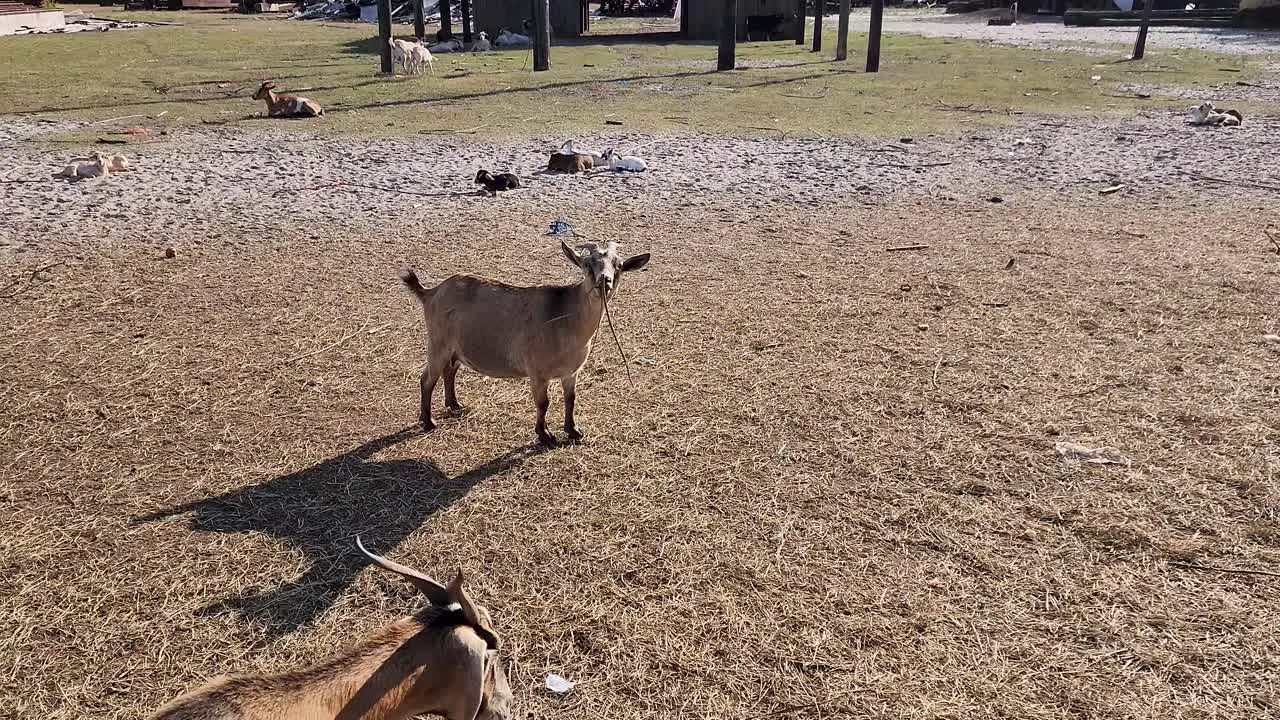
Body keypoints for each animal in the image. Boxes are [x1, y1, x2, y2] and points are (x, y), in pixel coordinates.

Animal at [401, 239, 650, 443]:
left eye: (619, 266)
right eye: (587, 265)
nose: (604, 281)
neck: (565, 315)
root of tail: (431, 292)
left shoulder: (571, 372)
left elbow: (571, 399)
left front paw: (573, 431)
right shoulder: (538, 372)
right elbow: (543, 403)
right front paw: (545, 435)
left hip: (456, 348)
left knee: (449, 371)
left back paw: (454, 405)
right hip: (438, 343)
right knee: (427, 379)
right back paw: (428, 422)